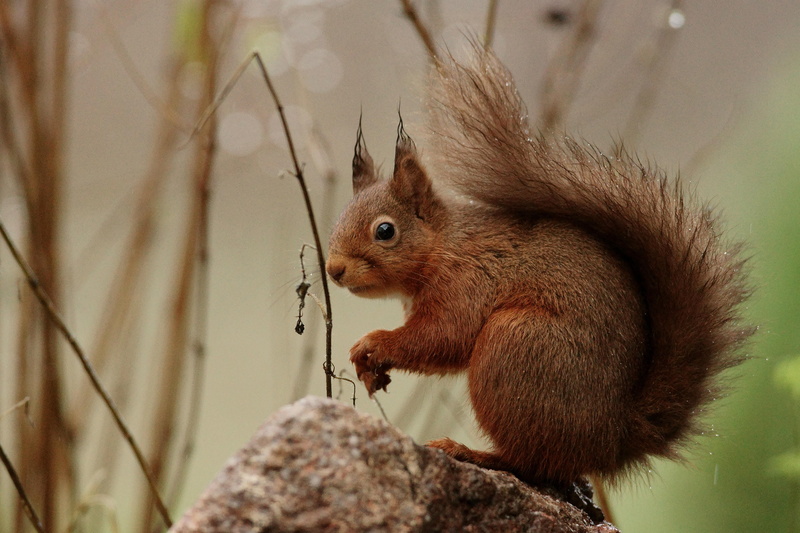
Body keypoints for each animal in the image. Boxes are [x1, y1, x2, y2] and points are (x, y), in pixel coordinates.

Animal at [325, 45, 752, 484]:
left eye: (385, 231)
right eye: (339, 218)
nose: (333, 269)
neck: (444, 245)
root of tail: (611, 440)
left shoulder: (468, 281)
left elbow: (442, 336)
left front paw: (372, 344)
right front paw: (370, 369)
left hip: (515, 344)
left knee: (532, 461)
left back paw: (473, 453)